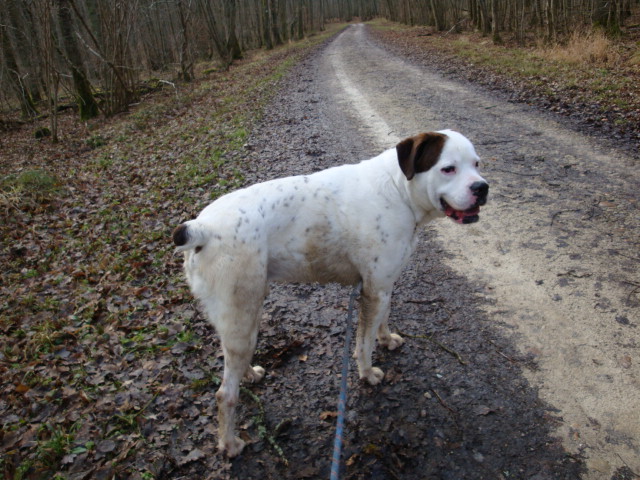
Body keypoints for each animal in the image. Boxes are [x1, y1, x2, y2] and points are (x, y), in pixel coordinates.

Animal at [172, 129, 488, 456]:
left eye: (477, 164)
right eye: (448, 169)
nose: (482, 187)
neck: (398, 190)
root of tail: (201, 227)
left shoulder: (383, 284)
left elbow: (384, 320)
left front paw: (387, 339)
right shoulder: (373, 292)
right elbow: (364, 343)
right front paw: (367, 374)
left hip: (240, 320)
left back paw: (248, 375)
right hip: (241, 317)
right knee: (225, 394)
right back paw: (230, 443)